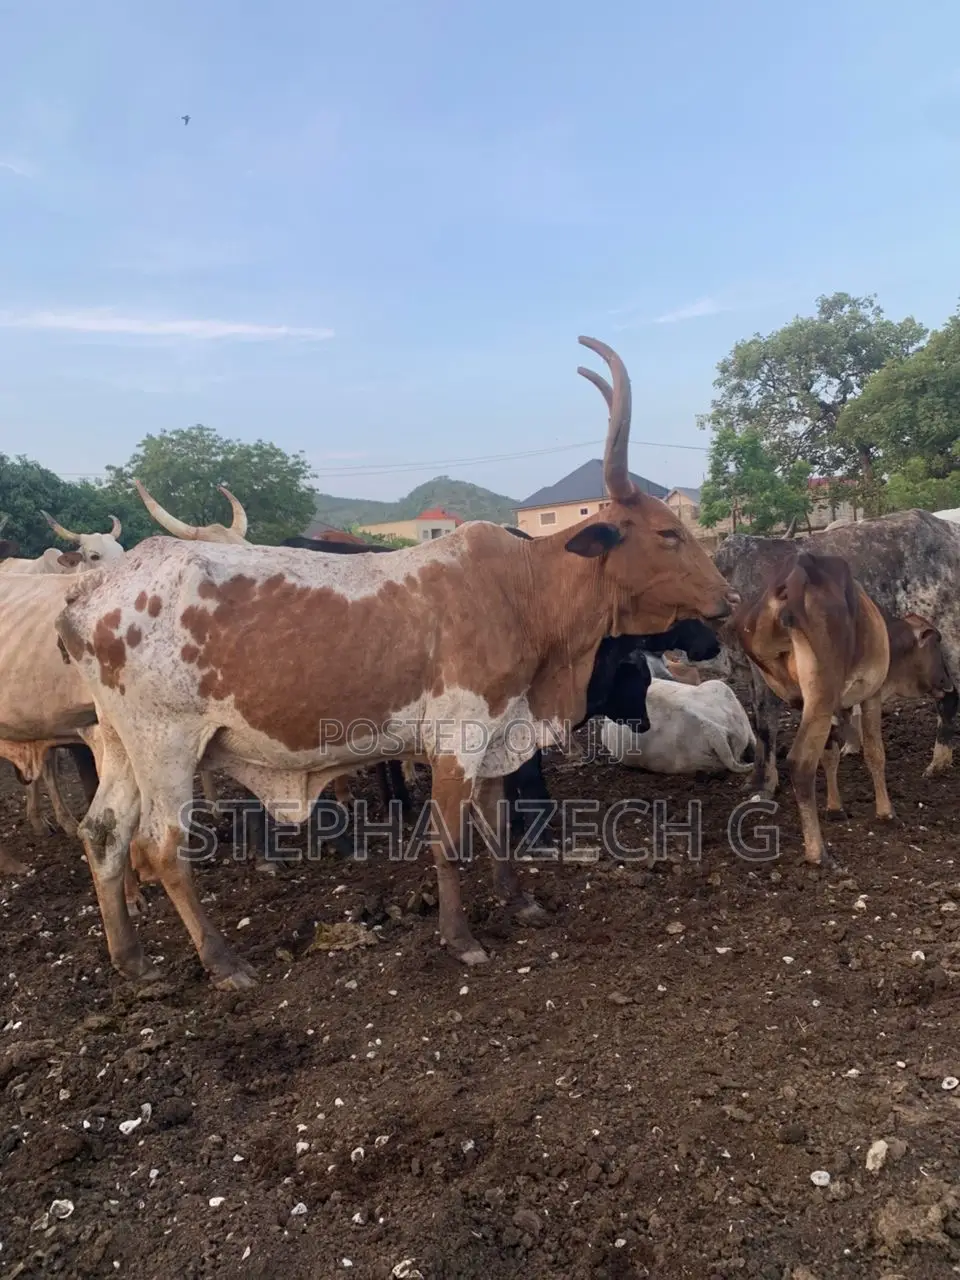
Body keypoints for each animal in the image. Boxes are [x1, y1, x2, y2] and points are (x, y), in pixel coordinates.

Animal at [55, 335, 740, 990]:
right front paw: (461, 939)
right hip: (165, 745)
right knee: (162, 846)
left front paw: (519, 903)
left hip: (120, 744)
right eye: (667, 533)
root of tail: (90, 594)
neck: (523, 593)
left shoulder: (500, 735)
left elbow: (497, 827)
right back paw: (222, 962)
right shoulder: (456, 740)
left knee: (104, 832)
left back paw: (132, 960)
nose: (730, 598)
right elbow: (449, 841)